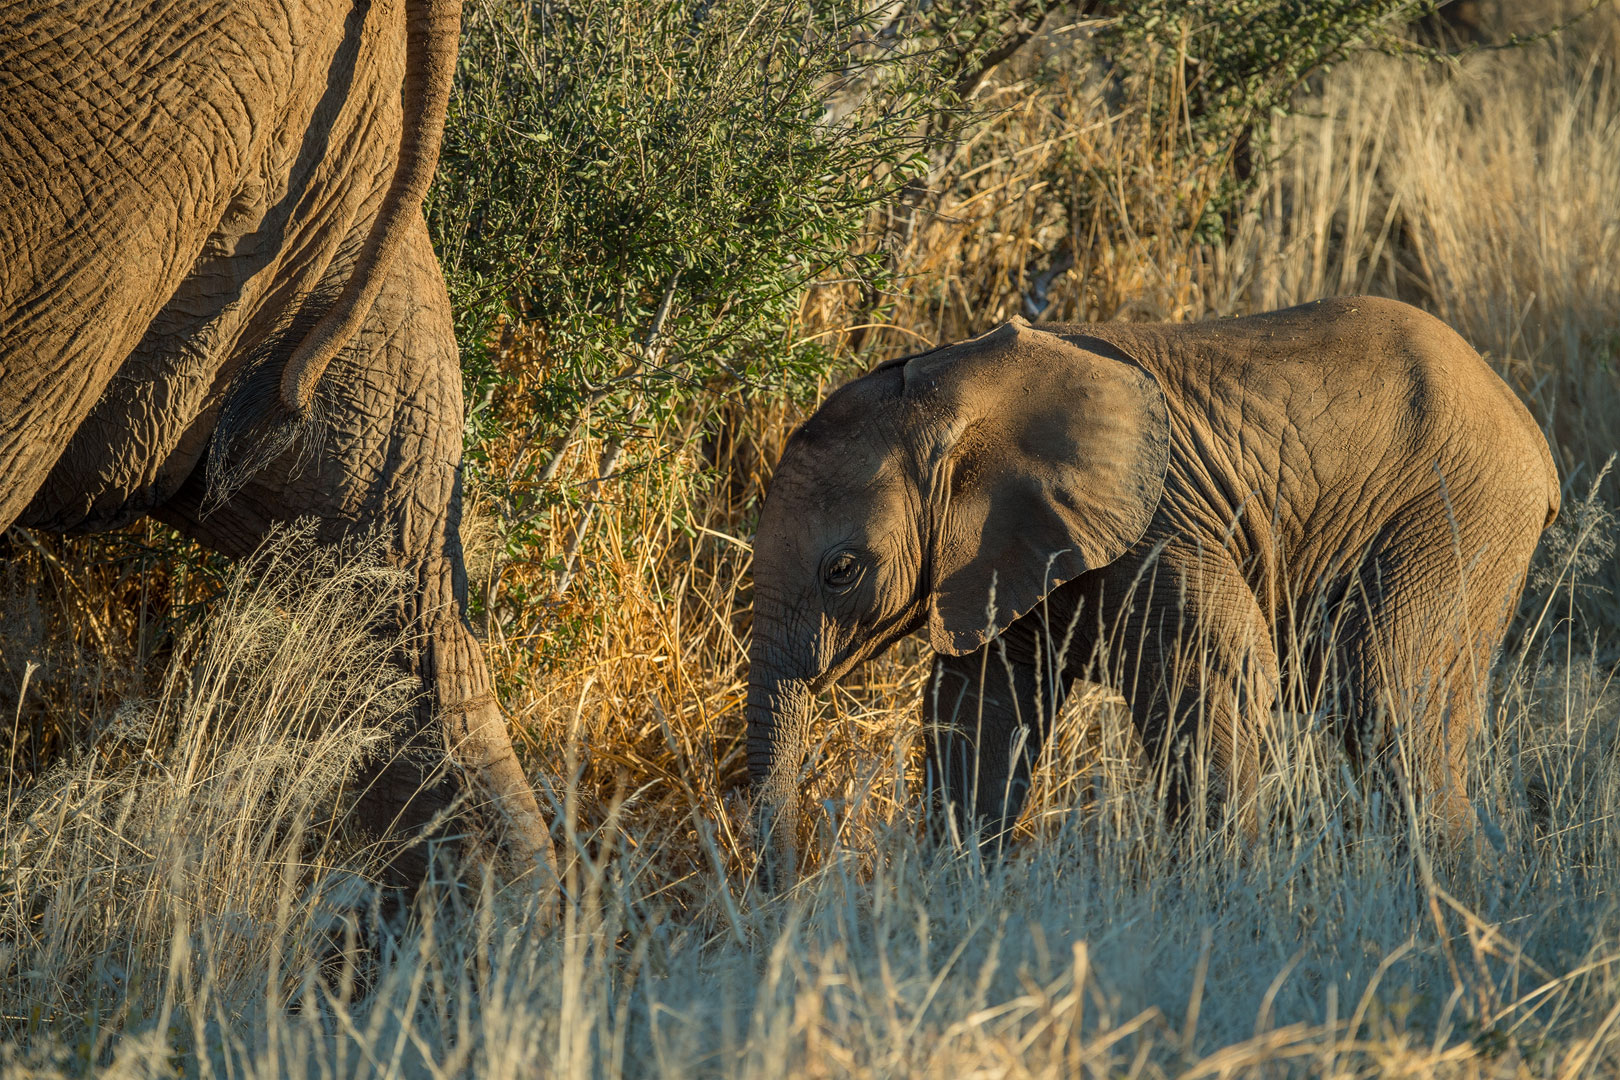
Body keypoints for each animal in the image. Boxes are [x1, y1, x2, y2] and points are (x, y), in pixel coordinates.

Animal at [745, 297, 1555, 880]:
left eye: (841, 571)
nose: (787, 901)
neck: (954, 386)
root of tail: (1528, 429)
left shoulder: (1160, 527)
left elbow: (1220, 677)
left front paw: (1222, 903)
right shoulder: (1003, 550)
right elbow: (978, 714)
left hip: (1457, 506)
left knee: (1387, 692)